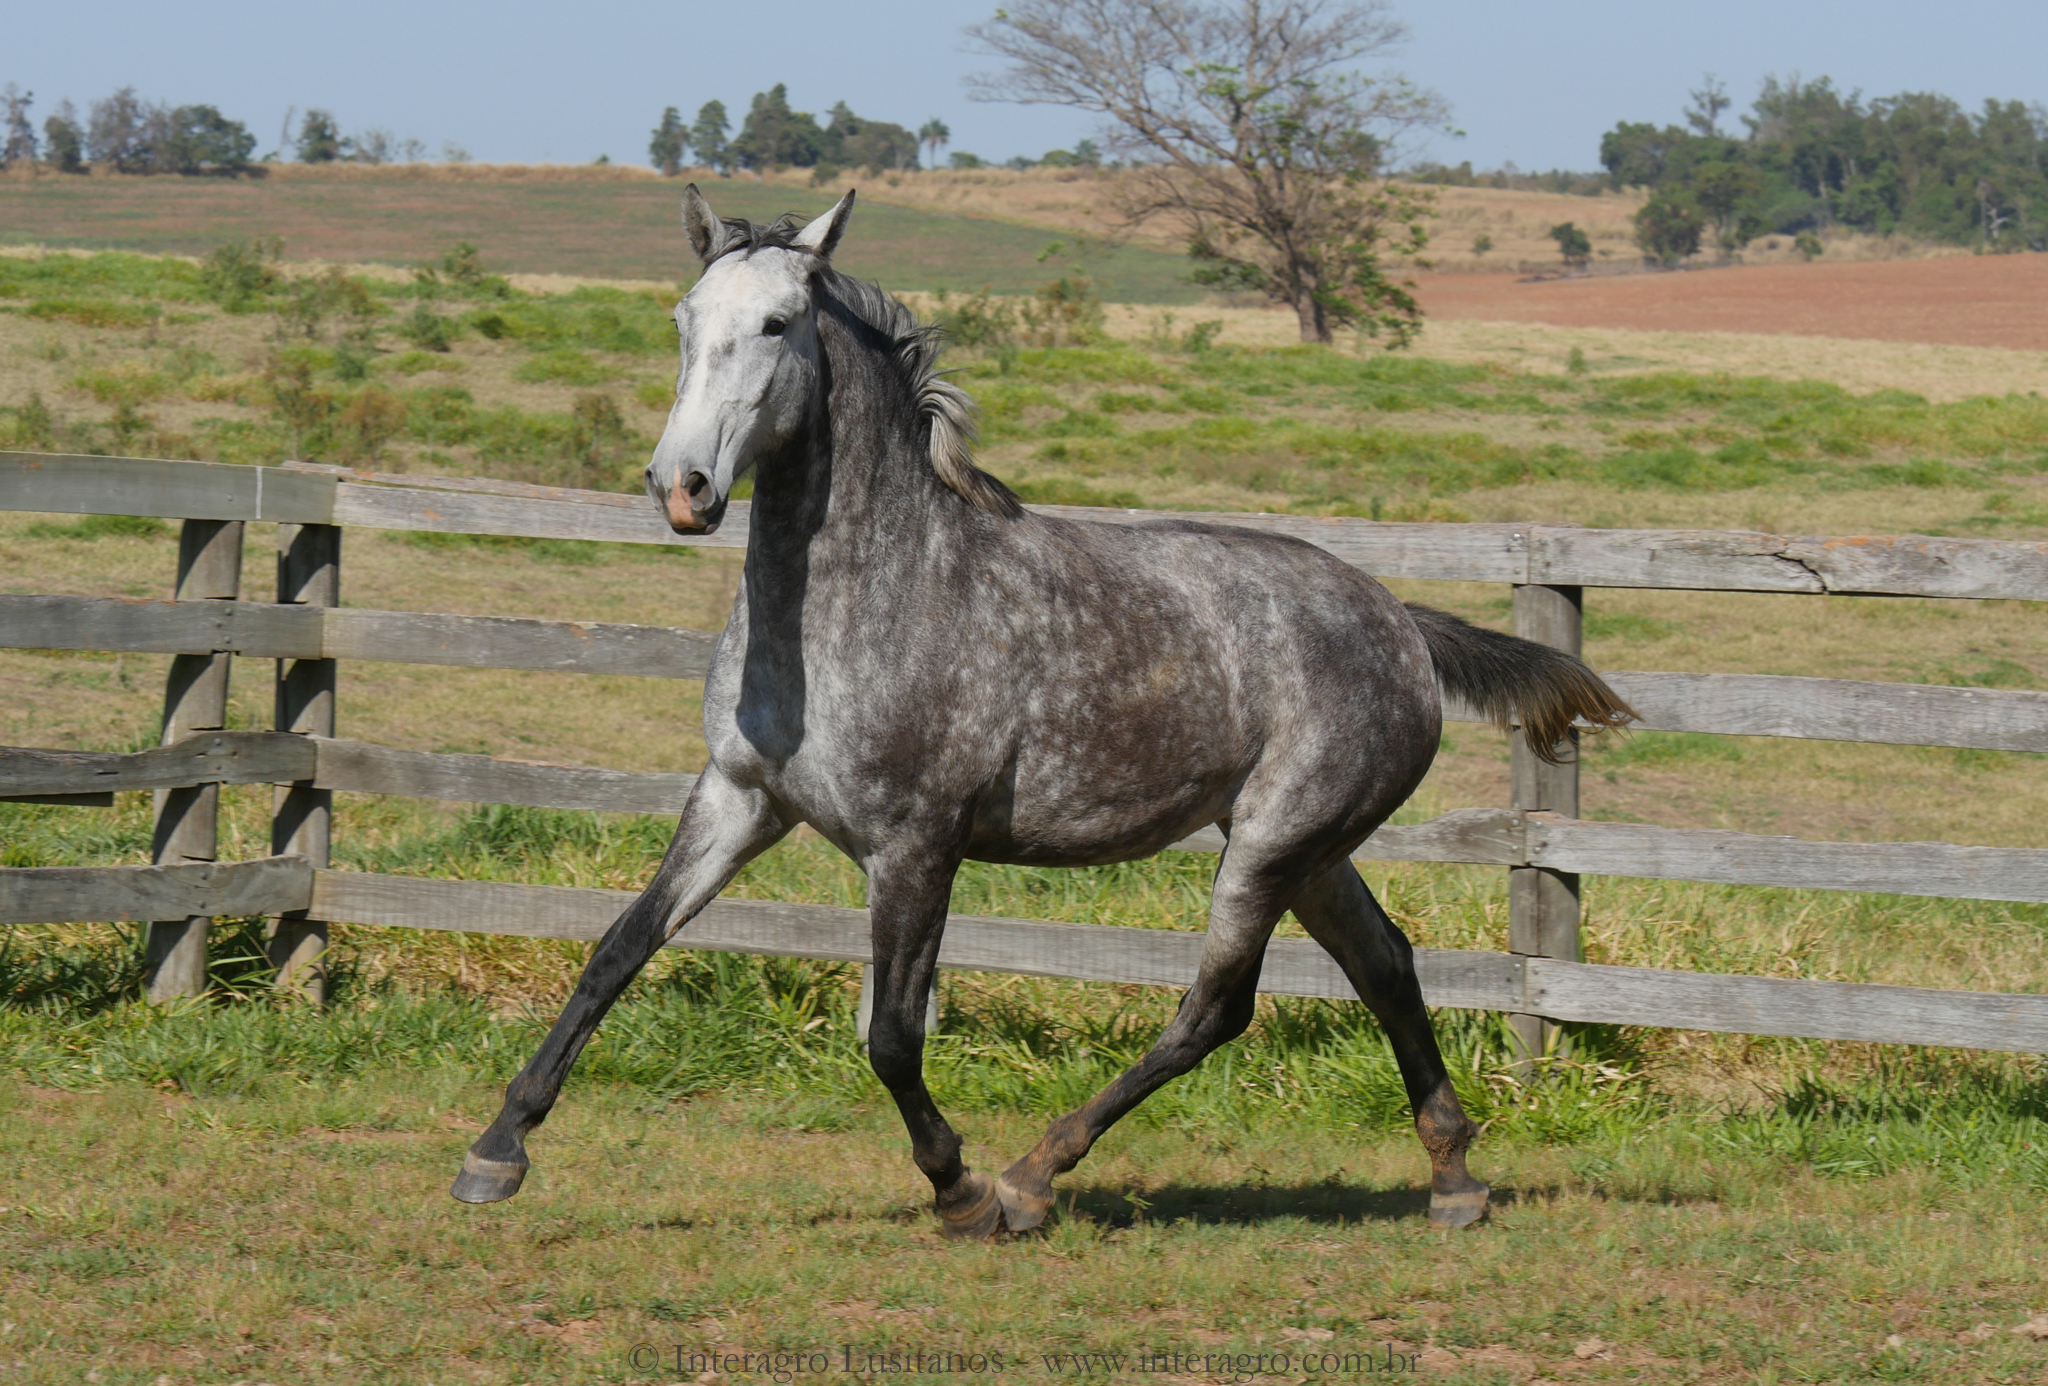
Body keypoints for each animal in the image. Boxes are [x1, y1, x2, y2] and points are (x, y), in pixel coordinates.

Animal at [449, 185, 1633, 1238]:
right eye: (684, 320)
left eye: (779, 323)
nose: (682, 487)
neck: (871, 597)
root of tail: (1397, 620)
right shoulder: (739, 800)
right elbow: (615, 951)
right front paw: (495, 1155)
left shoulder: (916, 844)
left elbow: (891, 1036)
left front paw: (959, 1192)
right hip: (1308, 851)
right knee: (1384, 962)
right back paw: (1454, 1181)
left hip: (1269, 845)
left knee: (1216, 1008)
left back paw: (1031, 1177)